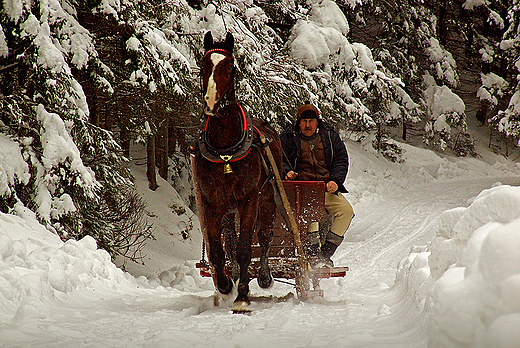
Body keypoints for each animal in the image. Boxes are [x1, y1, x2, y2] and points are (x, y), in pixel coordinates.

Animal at [191, 30, 282, 312]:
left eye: (230, 66)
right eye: (203, 65)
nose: (211, 102)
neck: (225, 150)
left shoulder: (248, 201)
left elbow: (245, 249)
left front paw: (242, 296)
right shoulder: (211, 204)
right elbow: (218, 251)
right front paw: (225, 285)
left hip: (267, 200)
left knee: (264, 237)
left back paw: (264, 276)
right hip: (228, 211)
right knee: (229, 242)